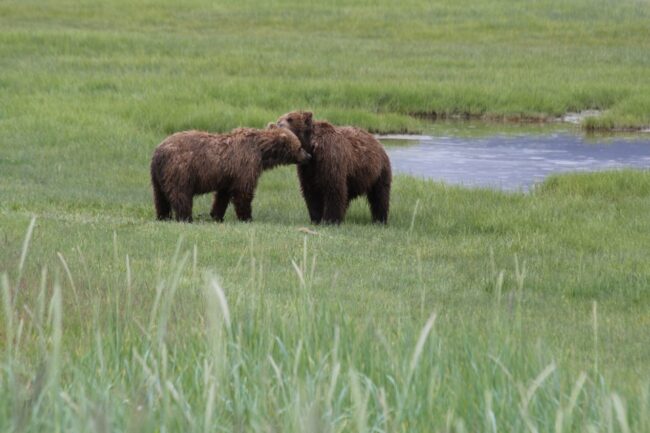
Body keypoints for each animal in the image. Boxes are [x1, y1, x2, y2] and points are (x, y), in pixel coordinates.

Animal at [150, 125, 311, 222]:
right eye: (300, 146)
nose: (308, 156)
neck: (262, 152)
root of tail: (158, 152)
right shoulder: (245, 165)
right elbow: (243, 192)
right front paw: (247, 217)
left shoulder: (228, 176)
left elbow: (222, 195)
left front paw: (216, 215)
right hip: (180, 170)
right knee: (181, 195)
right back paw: (186, 217)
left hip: (158, 176)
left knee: (160, 197)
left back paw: (163, 216)